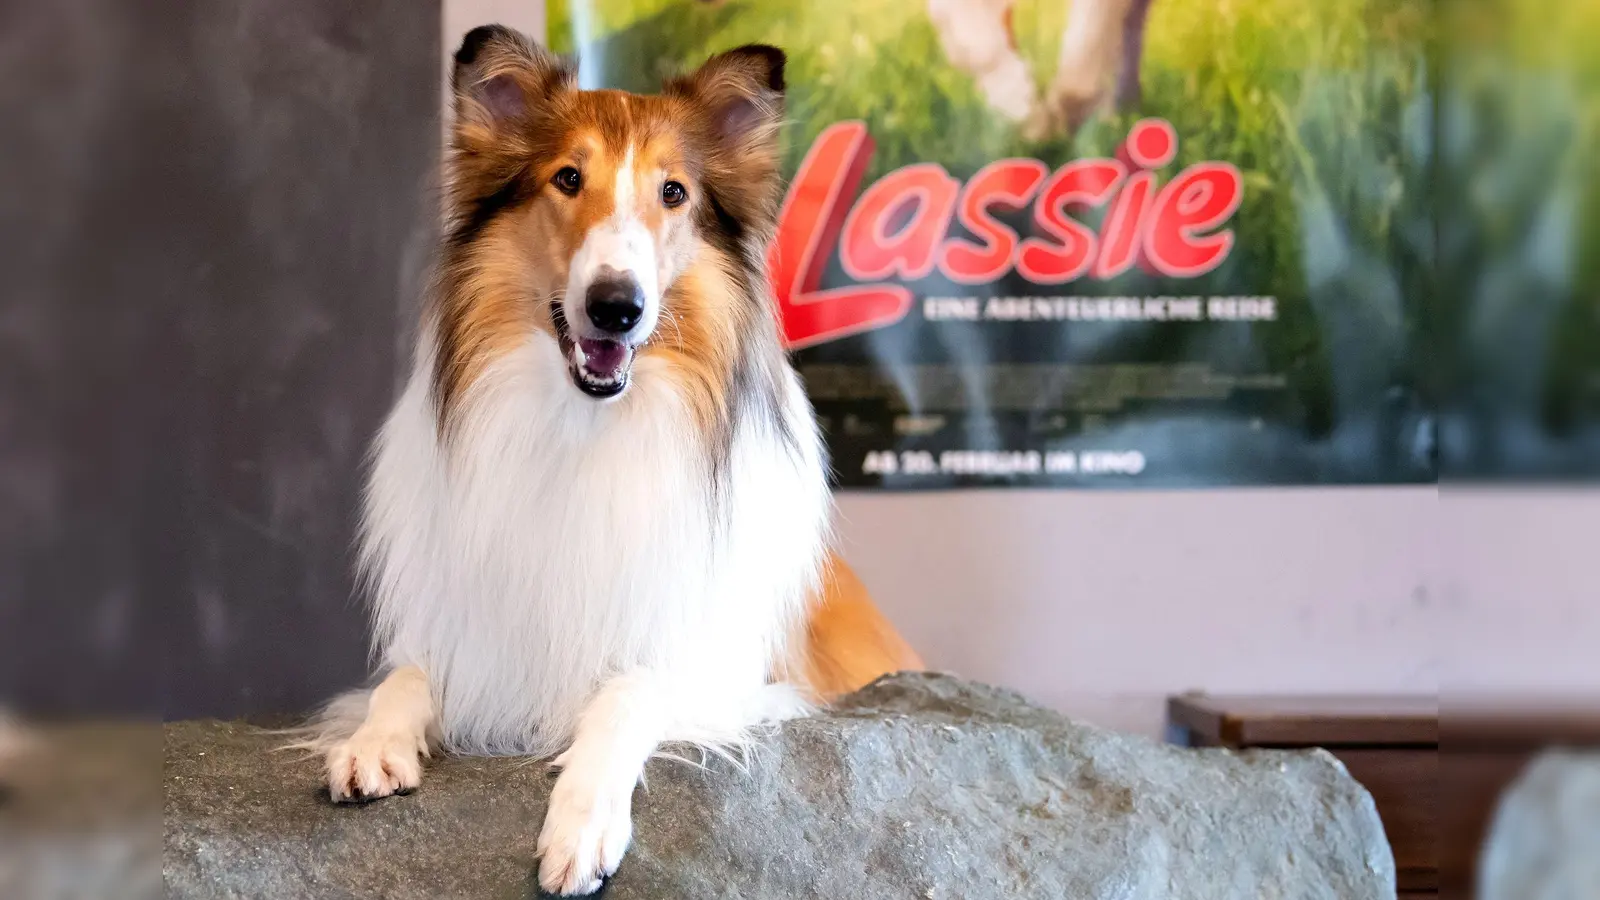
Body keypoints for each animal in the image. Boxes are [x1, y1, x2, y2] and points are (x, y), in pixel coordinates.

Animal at [300, 24, 921, 890]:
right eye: (567, 178)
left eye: (674, 193)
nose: (616, 307)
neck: (586, 429)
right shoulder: (472, 637)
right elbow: (406, 677)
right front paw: (371, 742)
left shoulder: (714, 669)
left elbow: (626, 691)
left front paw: (583, 823)